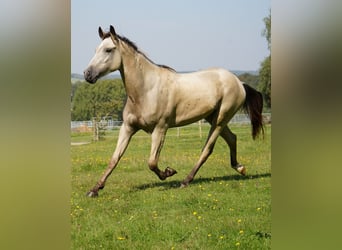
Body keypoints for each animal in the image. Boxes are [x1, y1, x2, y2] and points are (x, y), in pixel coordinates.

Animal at [83, 25, 264, 197]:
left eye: (108, 50)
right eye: (95, 50)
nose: (87, 74)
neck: (146, 90)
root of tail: (239, 83)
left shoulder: (160, 129)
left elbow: (152, 162)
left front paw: (169, 172)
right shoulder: (128, 128)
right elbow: (114, 159)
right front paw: (94, 190)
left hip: (219, 120)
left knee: (207, 149)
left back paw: (186, 181)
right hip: (213, 118)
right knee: (232, 138)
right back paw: (240, 168)